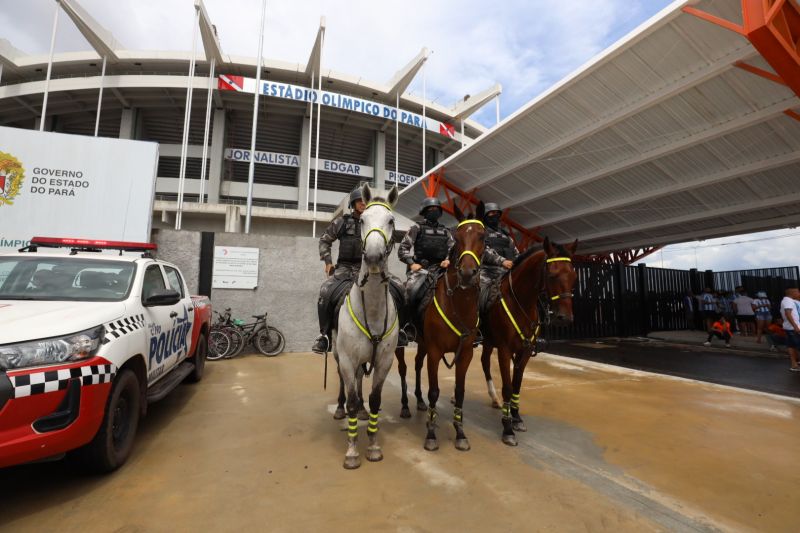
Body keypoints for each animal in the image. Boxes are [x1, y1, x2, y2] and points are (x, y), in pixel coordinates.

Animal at [396, 202, 484, 450]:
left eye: (482, 236)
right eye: (459, 236)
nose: (467, 273)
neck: (458, 305)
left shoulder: (465, 354)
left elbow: (460, 391)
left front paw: (460, 433)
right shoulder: (435, 351)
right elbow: (434, 391)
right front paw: (431, 434)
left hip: (423, 343)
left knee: (417, 365)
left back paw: (418, 400)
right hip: (401, 344)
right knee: (403, 368)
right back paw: (405, 405)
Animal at [478, 237, 580, 444]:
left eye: (573, 276)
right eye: (552, 275)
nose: (565, 318)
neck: (521, 302)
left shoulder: (524, 350)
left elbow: (517, 384)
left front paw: (516, 418)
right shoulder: (504, 350)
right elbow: (508, 387)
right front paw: (508, 428)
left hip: (488, 342)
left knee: (484, 361)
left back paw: (494, 398)